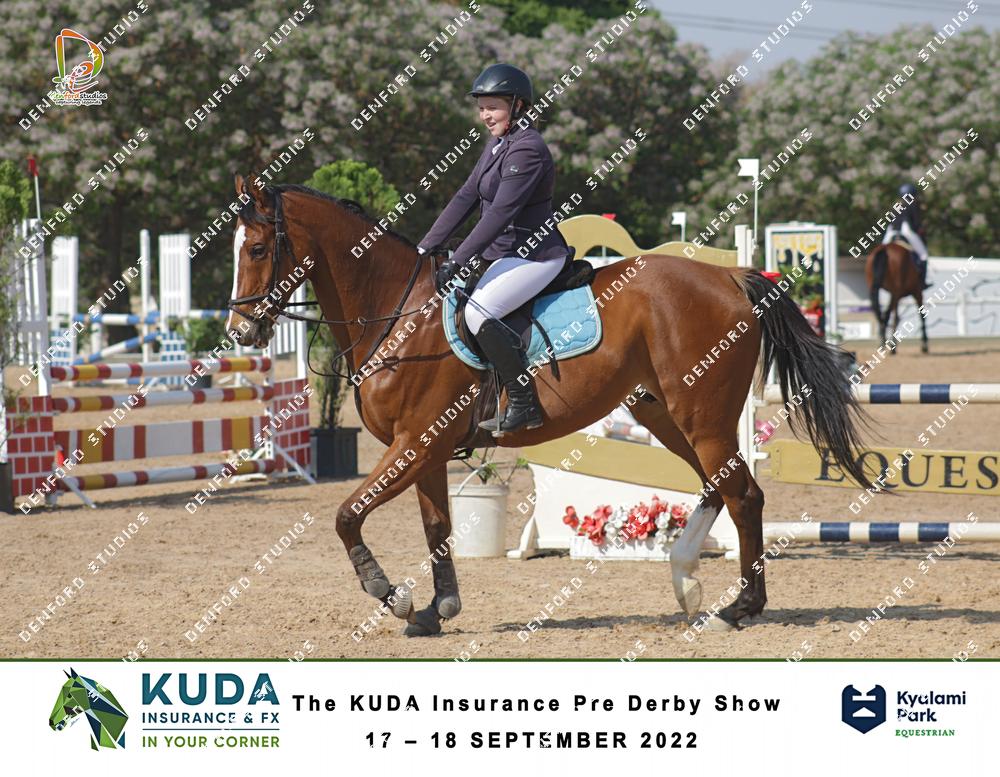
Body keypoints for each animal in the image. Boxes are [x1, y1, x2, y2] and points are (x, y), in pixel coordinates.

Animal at [226, 174, 876, 635]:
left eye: (256, 248)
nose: (240, 332)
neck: (397, 313)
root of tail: (731, 278)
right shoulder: (426, 450)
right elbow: (436, 526)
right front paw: (437, 608)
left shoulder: (414, 443)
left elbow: (346, 516)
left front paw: (394, 596)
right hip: (664, 414)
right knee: (720, 487)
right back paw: (687, 583)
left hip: (703, 416)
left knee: (745, 495)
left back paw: (738, 608)